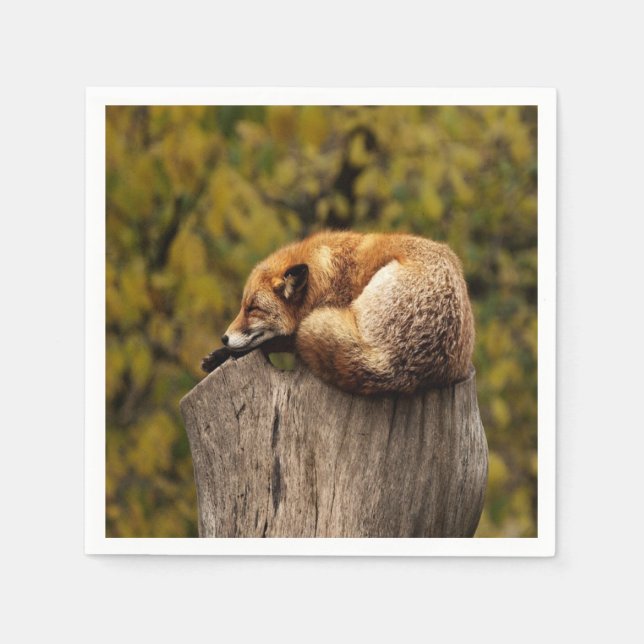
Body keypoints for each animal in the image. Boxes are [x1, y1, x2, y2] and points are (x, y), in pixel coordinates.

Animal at [201, 230, 475, 395]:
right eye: (242, 307)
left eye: (253, 309)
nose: (224, 337)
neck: (328, 275)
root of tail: (393, 367)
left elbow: (273, 342)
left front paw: (223, 354)